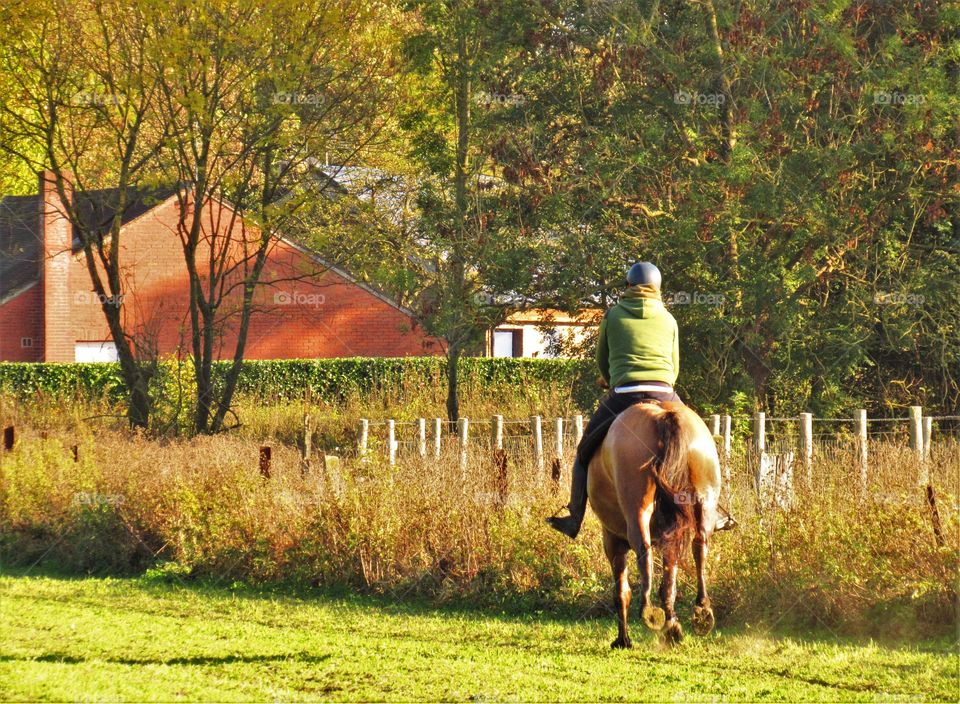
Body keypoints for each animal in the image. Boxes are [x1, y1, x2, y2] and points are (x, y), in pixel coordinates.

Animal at [580, 398, 724, 648]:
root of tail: (664, 414)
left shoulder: (612, 539)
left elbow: (621, 591)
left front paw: (623, 640)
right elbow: (670, 577)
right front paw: (672, 626)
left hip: (637, 506)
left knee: (643, 548)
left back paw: (648, 610)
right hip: (704, 501)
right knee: (700, 548)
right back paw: (701, 611)